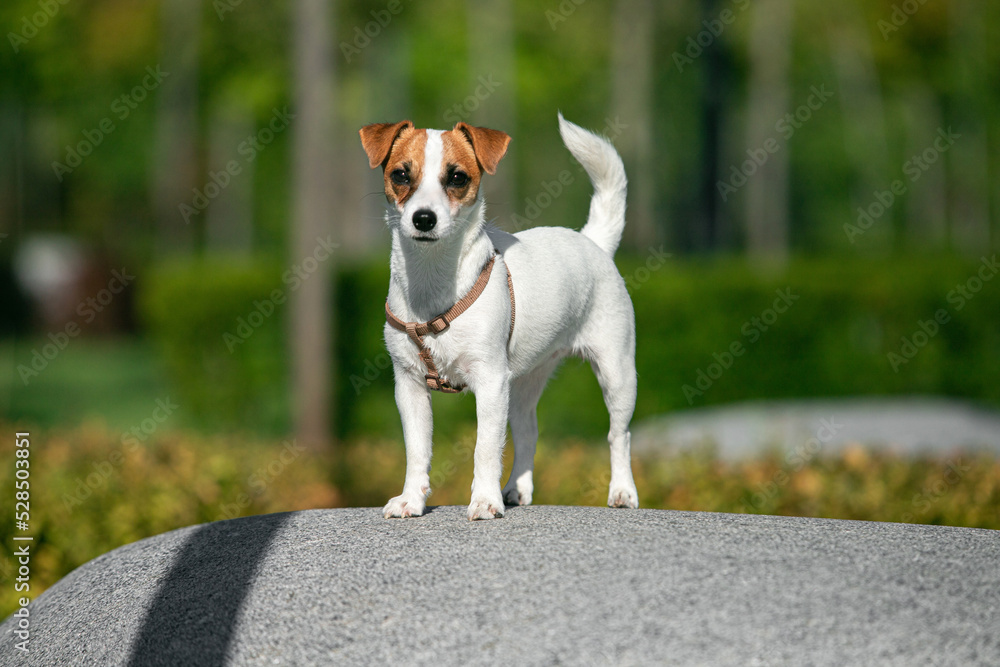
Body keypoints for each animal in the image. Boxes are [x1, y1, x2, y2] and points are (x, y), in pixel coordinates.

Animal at [360, 113, 640, 520]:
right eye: (400, 175)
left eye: (457, 178)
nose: (424, 218)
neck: (433, 283)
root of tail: (592, 241)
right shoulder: (410, 387)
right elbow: (417, 450)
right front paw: (411, 499)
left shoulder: (491, 383)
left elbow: (485, 447)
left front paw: (484, 501)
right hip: (524, 383)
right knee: (527, 432)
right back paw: (517, 489)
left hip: (617, 373)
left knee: (619, 435)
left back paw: (621, 490)